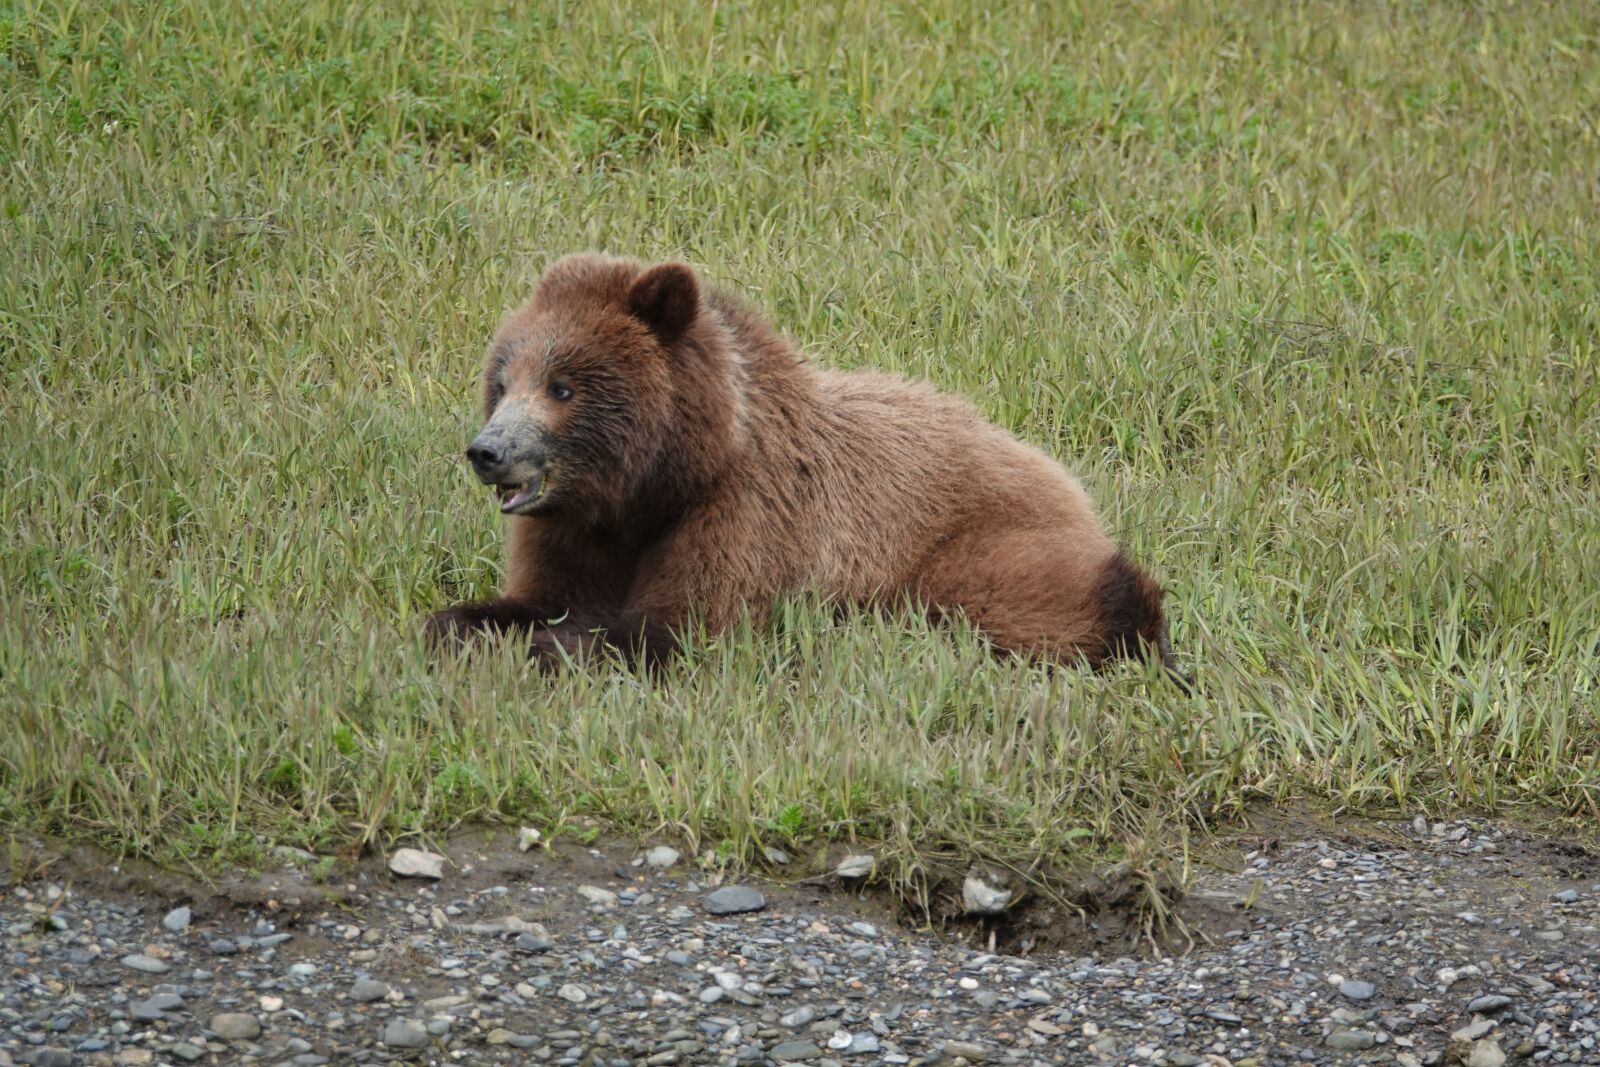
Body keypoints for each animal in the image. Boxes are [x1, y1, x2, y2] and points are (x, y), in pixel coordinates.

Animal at [425, 253, 1182, 683]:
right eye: (503, 379)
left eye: (562, 387)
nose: (488, 451)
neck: (652, 490)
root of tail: (1060, 473)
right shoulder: (575, 531)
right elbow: (535, 597)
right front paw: (467, 627)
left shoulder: (745, 514)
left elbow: (678, 627)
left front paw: (549, 649)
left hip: (974, 541)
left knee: (1045, 598)